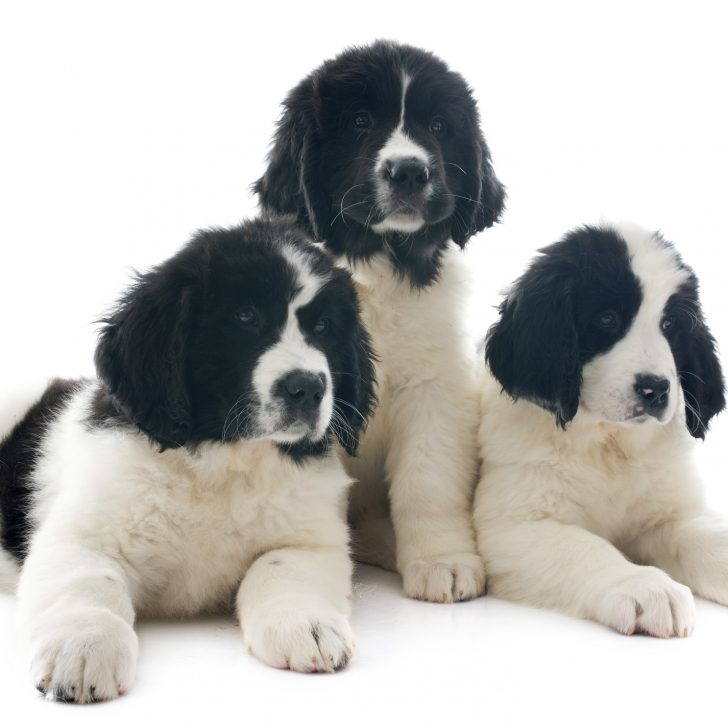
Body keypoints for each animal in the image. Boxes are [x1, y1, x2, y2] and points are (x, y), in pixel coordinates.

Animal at [0, 220, 376, 700]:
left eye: (324, 327)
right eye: (246, 318)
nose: (308, 388)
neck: (224, 459)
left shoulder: (313, 537)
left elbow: (281, 566)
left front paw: (306, 625)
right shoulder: (81, 535)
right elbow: (89, 583)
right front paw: (84, 647)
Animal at [474, 222, 724, 636]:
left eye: (669, 324)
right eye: (607, 319)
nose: (656, 389)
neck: (608, 443)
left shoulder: (668, 516)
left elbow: (705, 536)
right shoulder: (512, 525)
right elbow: (586, 548)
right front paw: (646, 586)